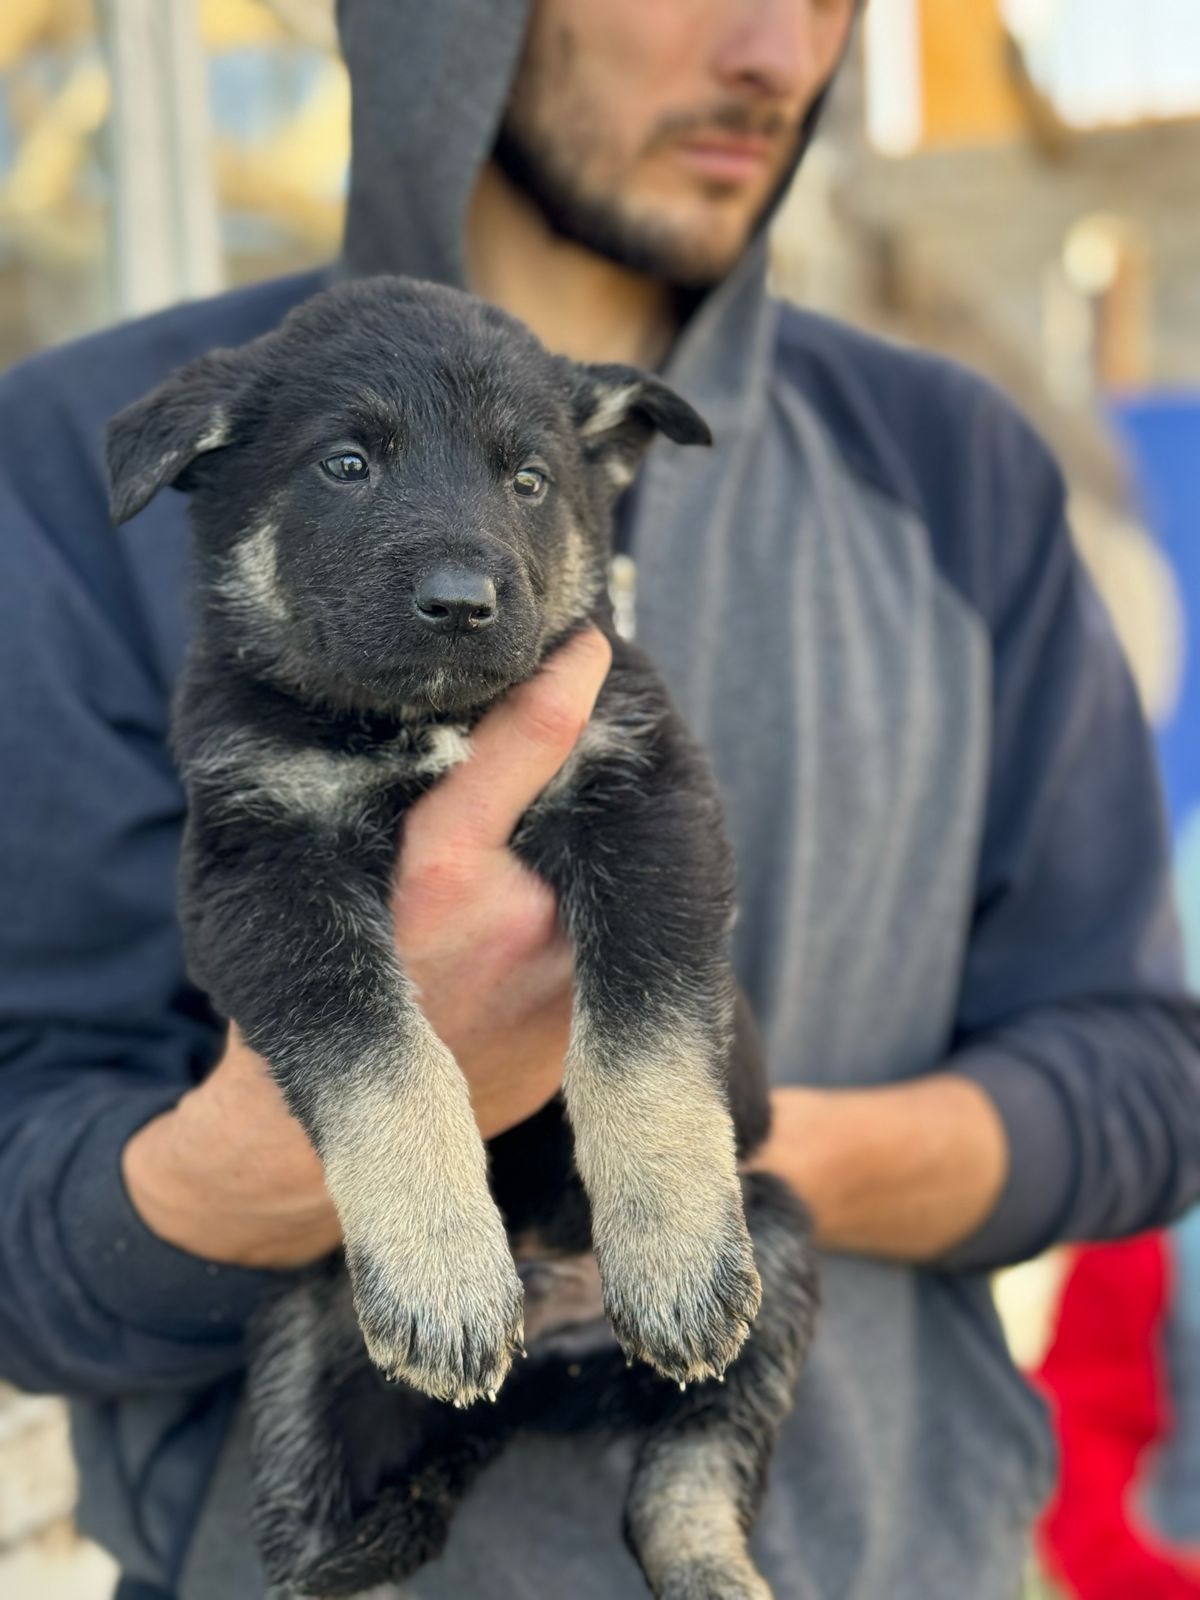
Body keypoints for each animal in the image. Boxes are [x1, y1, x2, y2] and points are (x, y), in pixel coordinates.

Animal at [108, 281, 825, 1593]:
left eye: (529, 480)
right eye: (346, 465)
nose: (460, 603)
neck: (422, 724)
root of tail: (538, 1378)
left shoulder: (647, 802)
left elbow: (641, 1033)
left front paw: (673, 1248)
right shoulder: (260, 874)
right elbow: (382, 1056)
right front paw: (445, 1270)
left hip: (786, 1235)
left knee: (685, 1476)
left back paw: (713, 1557)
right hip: (300, 1336)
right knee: (317, 1537)